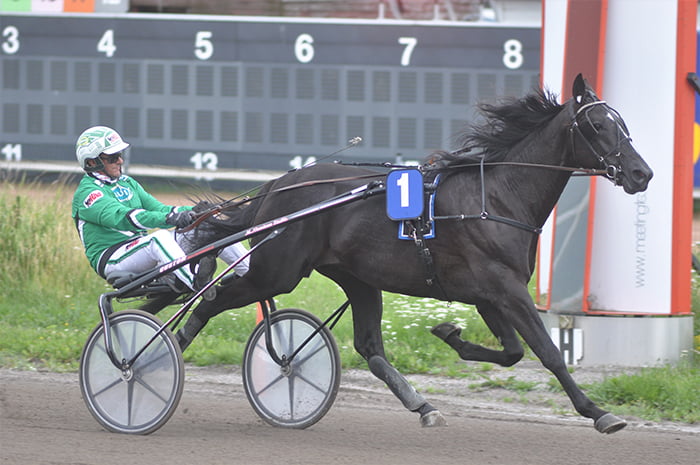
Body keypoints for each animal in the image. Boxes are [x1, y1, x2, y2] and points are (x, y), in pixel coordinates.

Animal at [174, 74, 652, 434]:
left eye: (622, 122)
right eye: (599, 125)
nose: (641, 173)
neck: (497, 196)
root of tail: (278, 185)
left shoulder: (489, 292)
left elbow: (513, 351)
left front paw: (450, 334)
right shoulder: (504, 287)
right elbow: (548, 352)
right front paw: (598, 412)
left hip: (357, 278)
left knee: (370, 347)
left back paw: (422, 406)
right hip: (278, 271)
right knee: (212, 301)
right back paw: (169, 350)